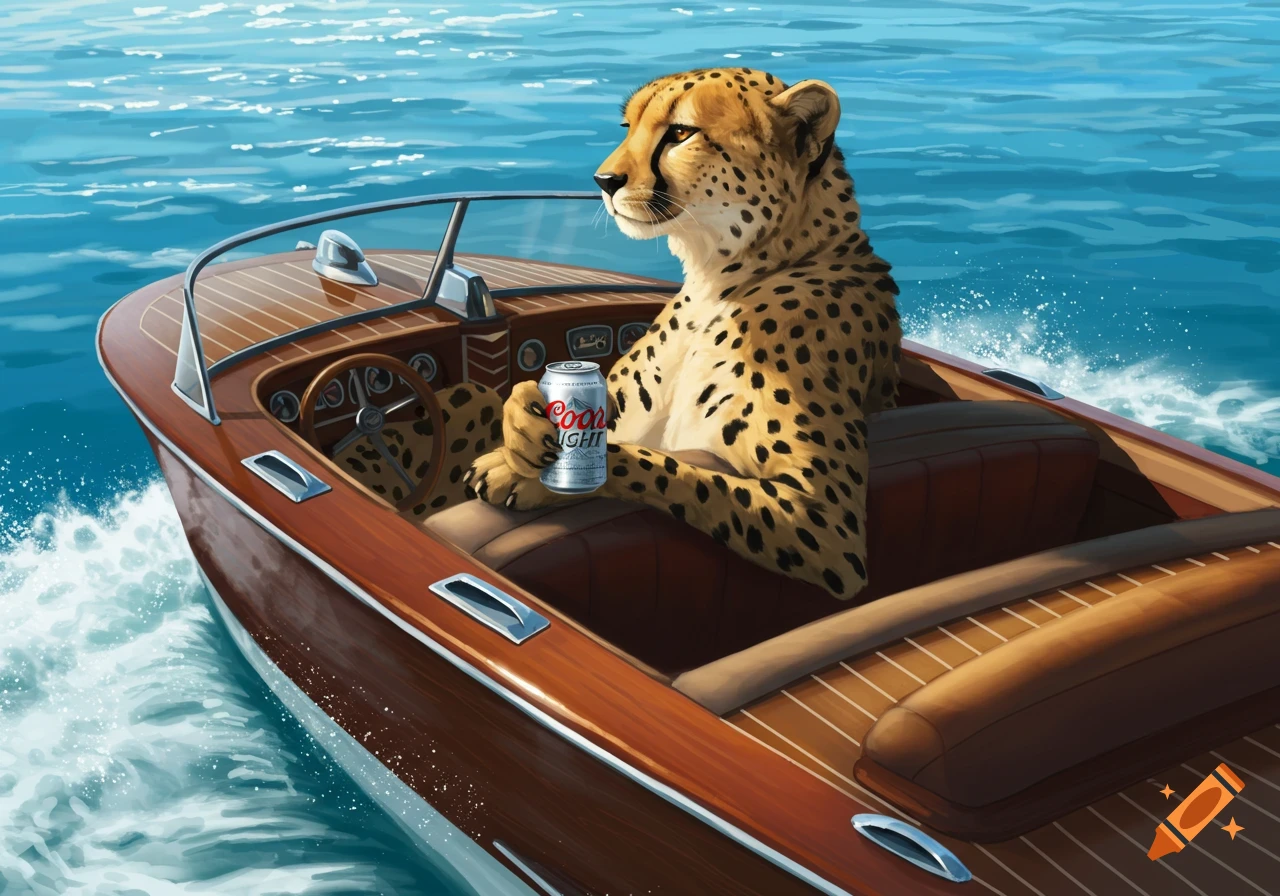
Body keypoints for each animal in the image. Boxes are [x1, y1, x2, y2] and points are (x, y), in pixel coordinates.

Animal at [466, 67, 903, 602]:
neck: (718, 281)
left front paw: (524, 473)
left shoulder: (828, 523)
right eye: (627, 126)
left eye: (679, 132)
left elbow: (675, 469)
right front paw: (519, 429)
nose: (604, 181)